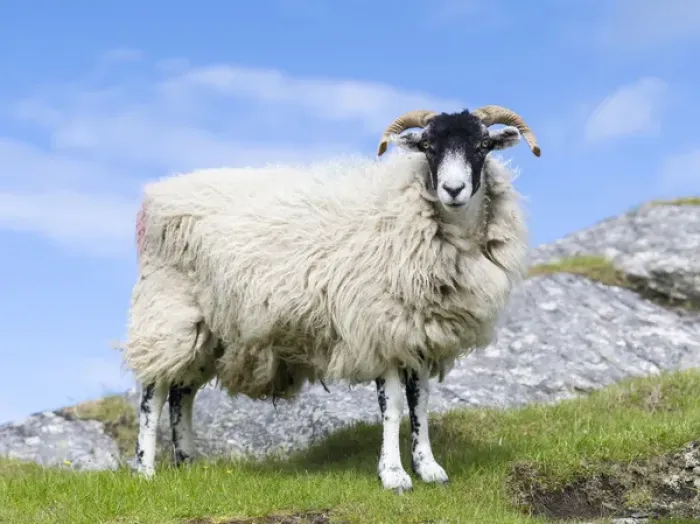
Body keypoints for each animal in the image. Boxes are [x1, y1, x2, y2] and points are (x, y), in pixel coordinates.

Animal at [120, 104, 541, 492]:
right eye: (428, 146)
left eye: (482, 145)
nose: (453, 190)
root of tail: (157, 194)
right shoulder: (380, 328)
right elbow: (393, 408)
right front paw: (394, 475)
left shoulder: (418, 332)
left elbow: (420, 403)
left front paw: (429, 468)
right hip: (168, 311)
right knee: (154, 393)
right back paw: (145, 470)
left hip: (209, 329)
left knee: (181, 391)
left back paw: (187, 463)